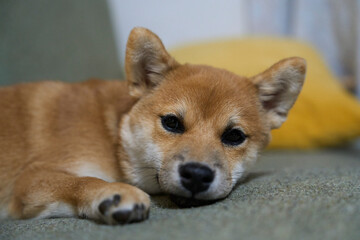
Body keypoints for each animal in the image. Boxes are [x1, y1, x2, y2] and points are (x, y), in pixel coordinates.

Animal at [0, 27, 306, 225]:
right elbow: (81, 180)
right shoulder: (32, 178)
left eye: (234, 136)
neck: (112, 133)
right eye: (171, 122)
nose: (197, 175)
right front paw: (112, 193)